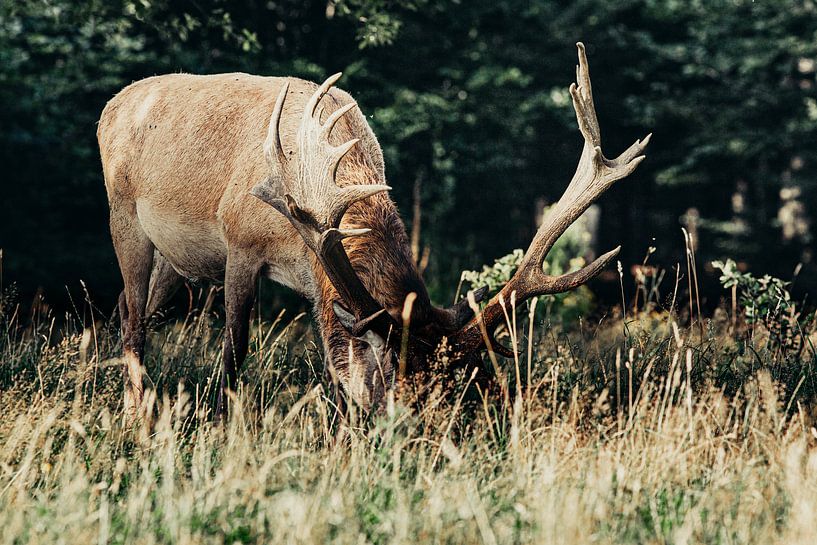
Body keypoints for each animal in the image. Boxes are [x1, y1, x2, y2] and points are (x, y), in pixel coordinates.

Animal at [97, 43, 652, 416]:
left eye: (467, 390)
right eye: (400, 390)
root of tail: (112, 104)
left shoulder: (316, 286)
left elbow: (332, 358)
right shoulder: (240, 245)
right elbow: (235, 351)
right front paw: (225, 420)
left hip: (177, 260)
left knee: (130, 308)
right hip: (124, 216)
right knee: (133, 318)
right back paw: (136, 414)